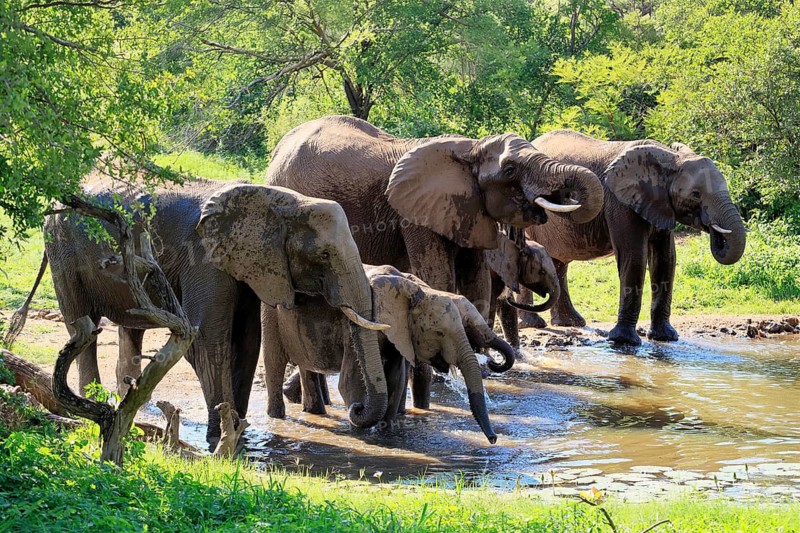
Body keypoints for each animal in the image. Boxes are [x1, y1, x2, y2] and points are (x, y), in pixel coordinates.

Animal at [31, 175, 389, 445]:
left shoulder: (245, 266)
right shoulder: (204, 259)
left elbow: (247, 342)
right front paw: (220, 437)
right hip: (62, 251)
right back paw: (95, 401)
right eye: (324, 255)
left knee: (128, 328)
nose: (356, 409)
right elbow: (208, 341)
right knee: (83, 326)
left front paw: (238, 433)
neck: (280, 200)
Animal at [265, 115, 603, 407]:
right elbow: (440, 277)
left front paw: (478, 365)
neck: (470, 149)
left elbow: (477, 283)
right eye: (509, 170)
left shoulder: (468, 210)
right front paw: (451, 374)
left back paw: (297, 394)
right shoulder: (416, 215)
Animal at [269, 265, 516, 444]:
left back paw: (313, 410)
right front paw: (361, 434)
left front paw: (385, 435)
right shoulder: (357, 328)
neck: (418, 289)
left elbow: (395, 381)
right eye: (439, 332)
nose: (494, 439)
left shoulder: (399, 335)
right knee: (278, 364)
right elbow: (351, 382)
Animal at [523, 130, 746, 345]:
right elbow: (635, 257)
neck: (670, 159)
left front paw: (665, 337)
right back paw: (534, 324)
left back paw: (570, 322)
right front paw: (624, 341)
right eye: (696, 194)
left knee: (559, 262)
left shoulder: (659, 204)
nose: (715, 231)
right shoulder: (619, 203)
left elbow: (665, 260)